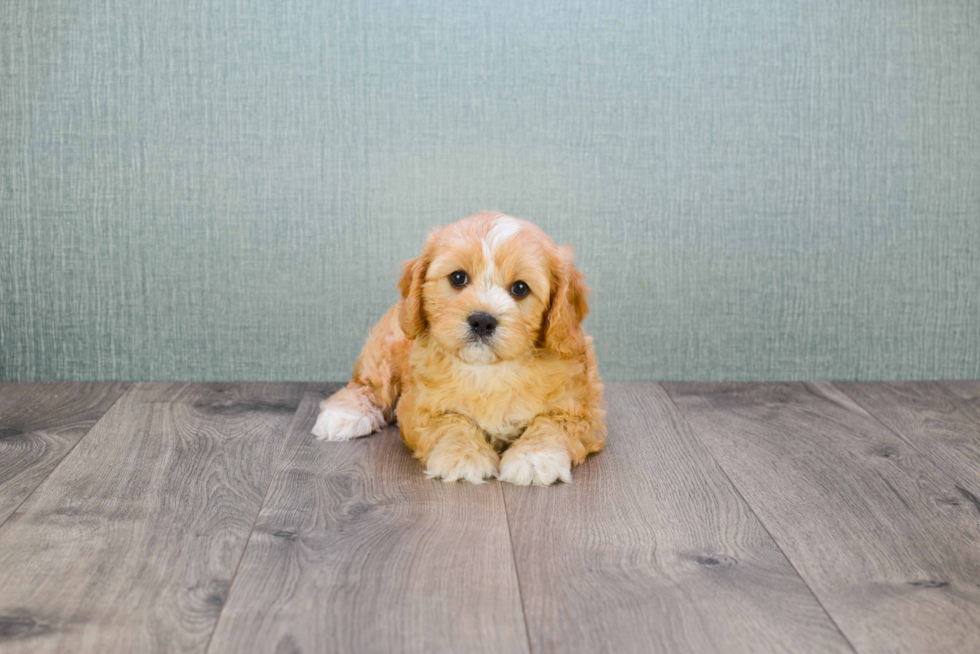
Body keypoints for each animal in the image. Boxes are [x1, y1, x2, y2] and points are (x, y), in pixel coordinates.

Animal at [314, 213, 604, 484]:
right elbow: (453, 422)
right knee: (368, 385)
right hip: (385, 350)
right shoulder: (419, 408)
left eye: (521, 288)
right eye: (457, 277)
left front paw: (534, 457)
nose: (483, 321)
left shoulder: (582, 410)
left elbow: (551, 424)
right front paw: (464, 456)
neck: (488, 370)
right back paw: (344, 415)